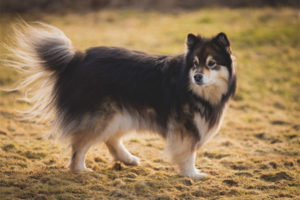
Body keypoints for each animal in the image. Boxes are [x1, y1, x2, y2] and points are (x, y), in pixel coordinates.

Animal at [6, 22, 237, 179]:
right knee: (80, 144)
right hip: (103, 115)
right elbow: (188, 153)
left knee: (110, 139)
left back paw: (127, 159)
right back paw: (80, 169)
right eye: (195, 63)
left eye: (212, 63)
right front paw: (192, 173)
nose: (197, 76)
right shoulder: (185, 127)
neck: (193, 88)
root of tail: (76, 59)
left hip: (122, 113)